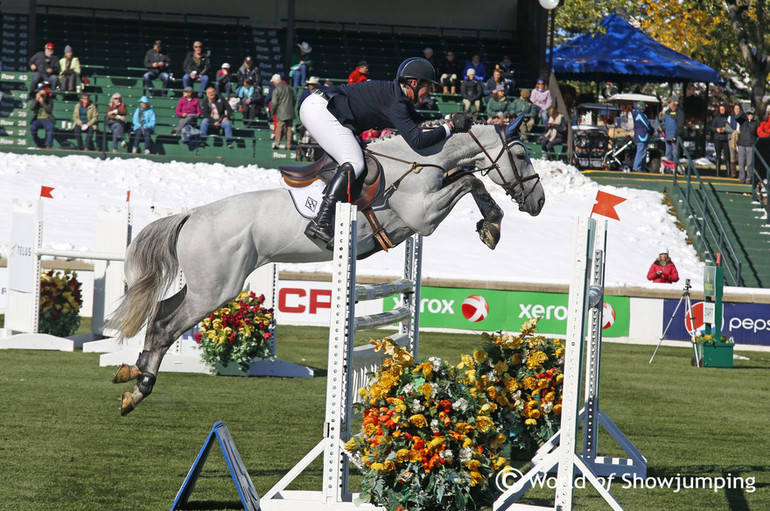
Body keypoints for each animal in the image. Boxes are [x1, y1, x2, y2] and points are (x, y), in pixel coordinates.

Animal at [108, 123, 544, 416]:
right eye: (522, 155)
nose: (538, 202)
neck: (419, 161)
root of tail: (192, 216)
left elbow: (468, 179)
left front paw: (490, 226)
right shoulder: (422, 217)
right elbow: (469, 179)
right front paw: (492, 224)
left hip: (203, 287)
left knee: (161, 315)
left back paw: (132, 377)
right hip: (215, 290)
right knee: (167, 325)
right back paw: (139, 387)